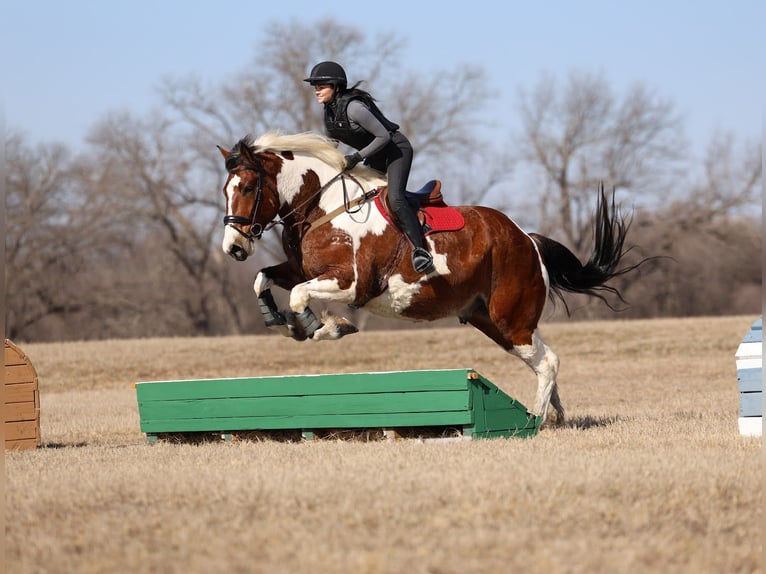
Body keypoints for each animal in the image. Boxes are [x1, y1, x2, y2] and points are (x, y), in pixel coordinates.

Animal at [218, 131, 642, 428]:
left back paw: (535, 420)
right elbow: (263, 279)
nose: (233, 247)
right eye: (225, 190)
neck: (326, 206)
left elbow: (300, 297)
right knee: (542, 361)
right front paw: (280, 322)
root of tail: (527, 238)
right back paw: (553, 416)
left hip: (510, 317)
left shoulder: (351, 283)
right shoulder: (301, 270)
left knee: (547, 360)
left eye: (249, 187)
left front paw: (323, 327)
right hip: (491, 320)